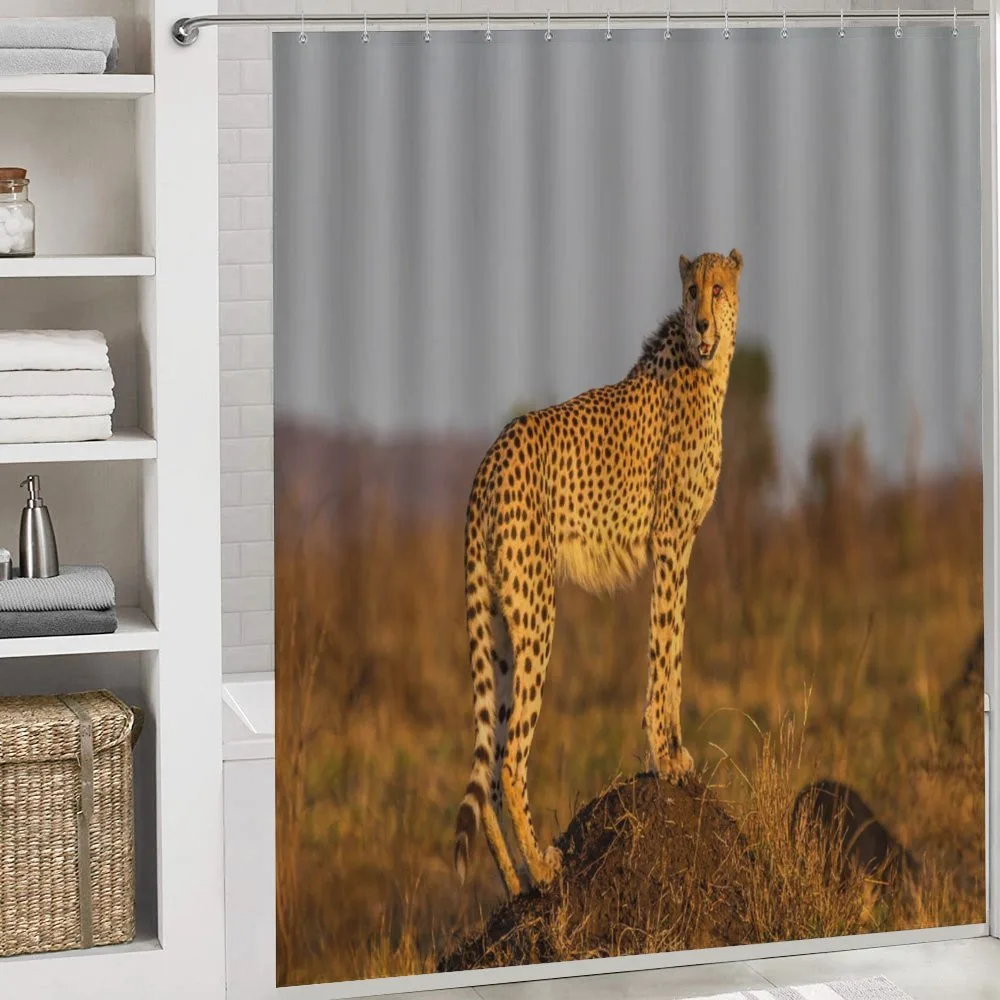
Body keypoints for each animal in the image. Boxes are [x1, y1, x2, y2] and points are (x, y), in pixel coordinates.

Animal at [453, 249, 744, 897]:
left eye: (717, 288)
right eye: (691, 290)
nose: (702, 323)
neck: (707, 366)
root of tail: (489, 457)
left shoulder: (679, 544)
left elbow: (671, 646)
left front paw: (667, 757)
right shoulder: (671, 542)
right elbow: (667, 645)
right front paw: (669, 756)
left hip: (500, 628)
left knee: (487, 764)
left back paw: (516, 881)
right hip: (537, 611)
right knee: (510, 756)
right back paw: (542, 865)